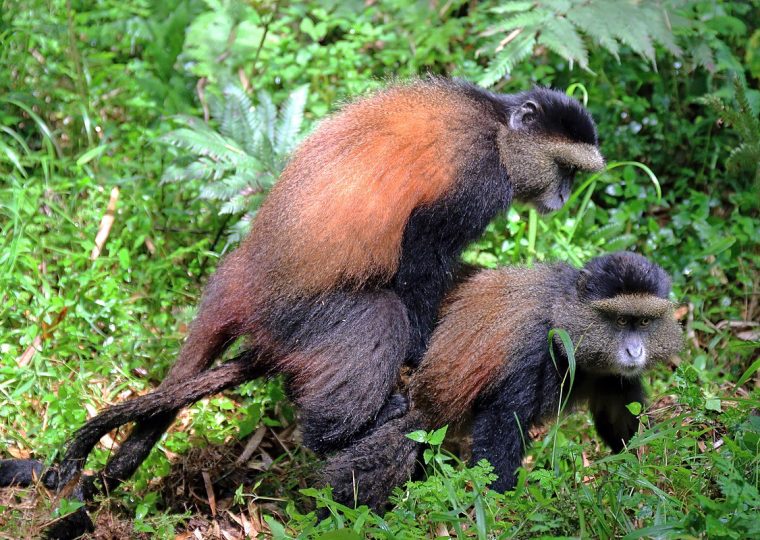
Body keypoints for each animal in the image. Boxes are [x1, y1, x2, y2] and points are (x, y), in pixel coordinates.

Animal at [0, 78, 603, 537]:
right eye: (564, 169)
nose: (563, 199)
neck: (498, 125)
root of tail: (246, 279)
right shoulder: (475, 183)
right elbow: (420, 254)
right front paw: (422, 349)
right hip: (304, 317)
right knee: (378, 316)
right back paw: (343, 427)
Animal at [323, 252, 683, 510]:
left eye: (644, 322)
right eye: (621, 320)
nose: (634, 351)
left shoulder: (615, 379)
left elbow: (625, 424)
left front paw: (649, 472)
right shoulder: (533, 353)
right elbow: (501, 427)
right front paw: (499, 507)